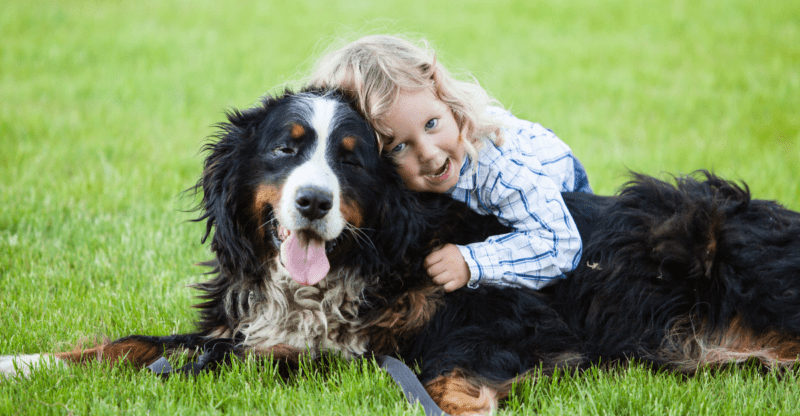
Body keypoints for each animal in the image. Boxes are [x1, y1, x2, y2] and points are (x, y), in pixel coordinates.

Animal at [1, 88, 800, 416]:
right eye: (285, 150)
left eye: (351, 159)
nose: (313, 202)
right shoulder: (249, 327)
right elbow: (136, 345)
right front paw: (25, 362)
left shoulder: (491, 323)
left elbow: (450, 375)